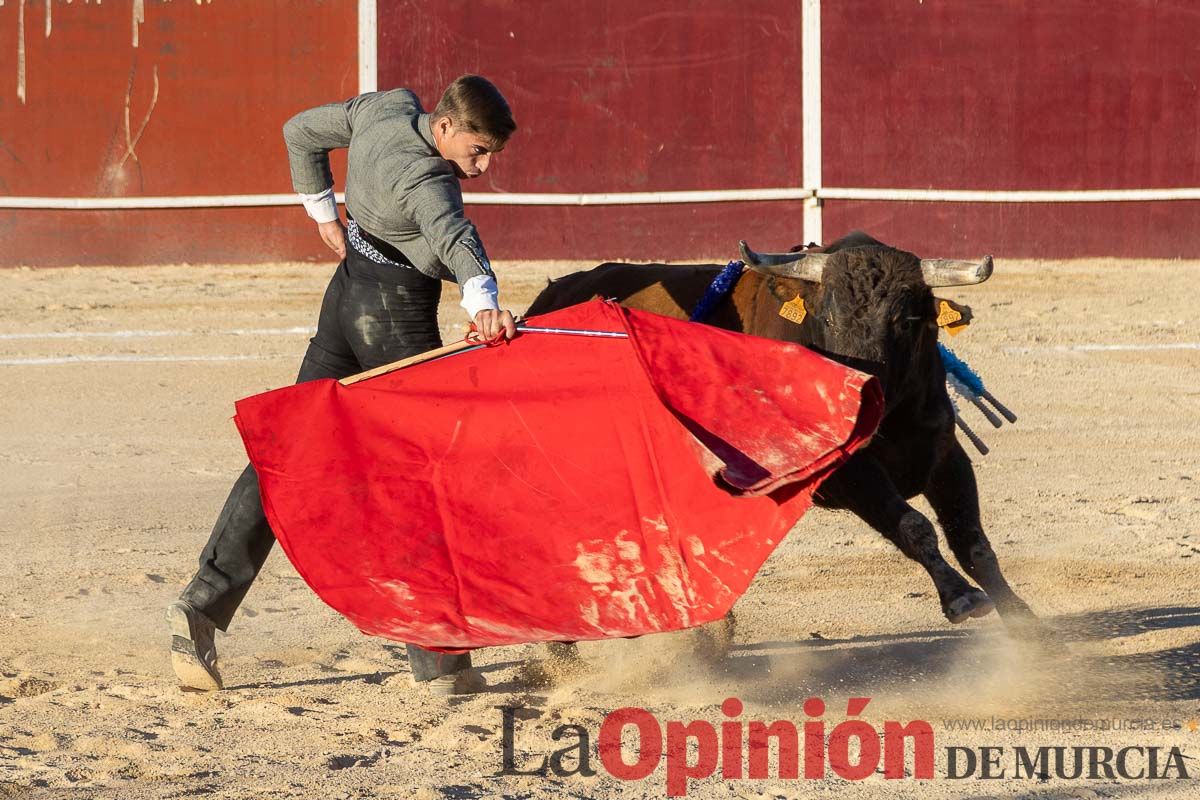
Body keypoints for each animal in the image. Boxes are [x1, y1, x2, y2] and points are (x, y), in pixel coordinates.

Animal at [525, 230, 1041, 642]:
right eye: (828, 319)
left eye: (908, 322)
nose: (862, 395)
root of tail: (541, 305)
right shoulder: (845, 471)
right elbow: (914, 526)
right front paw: (961, 599)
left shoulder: (945, 457)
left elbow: (973, 542)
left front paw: (1025, 623)